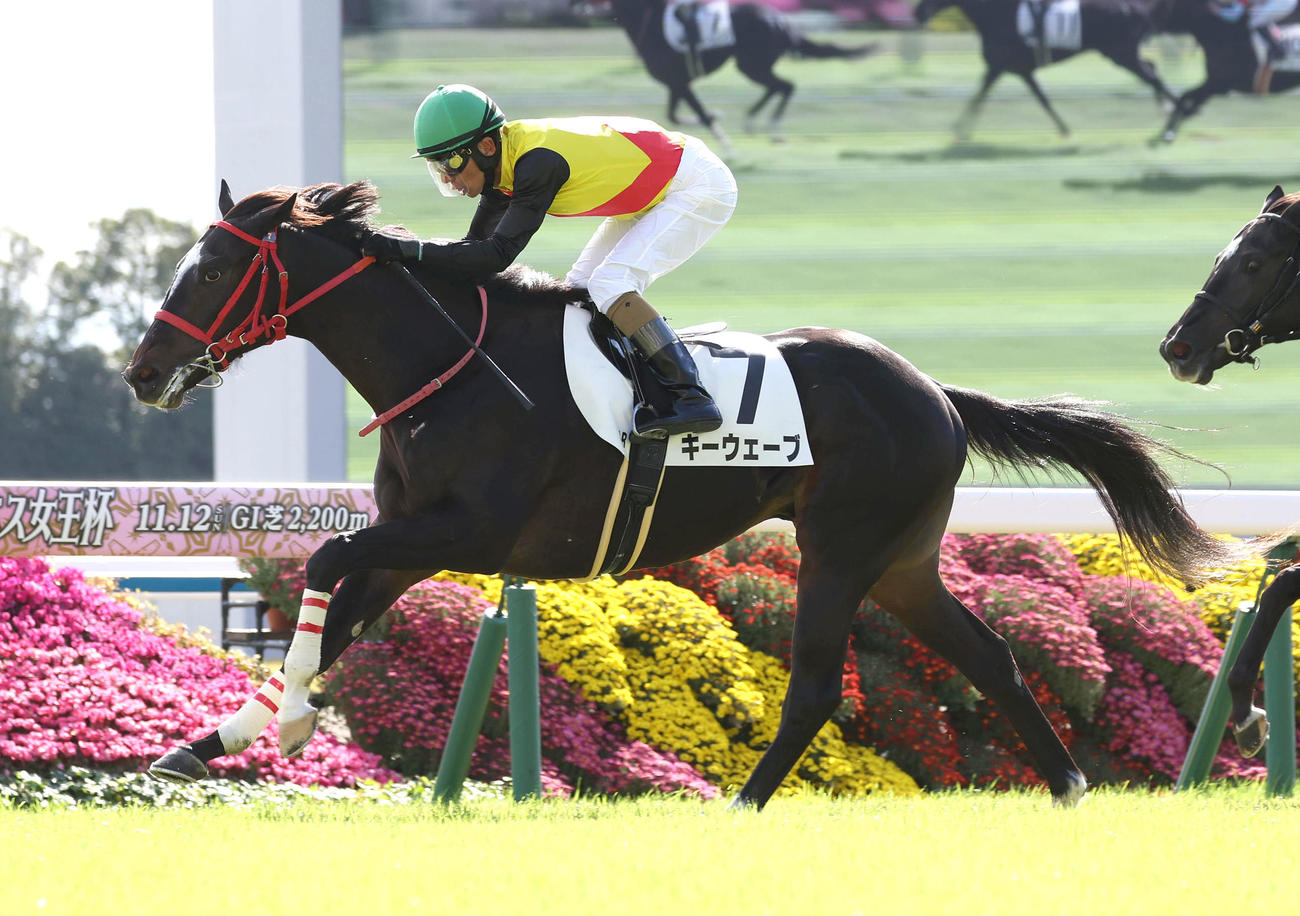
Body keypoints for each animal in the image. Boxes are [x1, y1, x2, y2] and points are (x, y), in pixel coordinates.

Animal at [125, 179, 1253, 808]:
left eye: (214, 267)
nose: (142, 373)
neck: (449, 365)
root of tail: (934, 390)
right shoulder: (414, 536)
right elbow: (341, 613)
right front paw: (209, 742)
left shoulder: (469, 529)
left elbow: (324, 561)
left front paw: (284, 728)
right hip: (901, 562)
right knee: (992, 657)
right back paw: (1066, 788)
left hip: (840, 548)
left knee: (814, 687)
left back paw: (743, 805)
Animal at [585, 0, 878, 149]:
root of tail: (781, 21)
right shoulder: (676, 84)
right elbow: (676, 114)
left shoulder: (679, 82)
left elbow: (697, 114)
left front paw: (724, 141)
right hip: (753, 66)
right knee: (780, 87)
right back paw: (755, 122)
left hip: (752, 66)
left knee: (785, 86)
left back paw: (769, 128)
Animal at [913, 0, 1181, 140]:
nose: (916, 12)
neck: (999, 13)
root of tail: (1138, 8)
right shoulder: (1020, 71)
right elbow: (1042, 99)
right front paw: (1064, 128)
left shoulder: (998, 67)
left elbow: (979, 97)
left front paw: (959, 130)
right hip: (1124, 54)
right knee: (1152, 70)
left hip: (1121, 55)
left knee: (1153, 76)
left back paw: (1174, 112)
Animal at [1154, 1, 1300, 142]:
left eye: (1158, 6)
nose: (1151, 26)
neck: (1222, 32)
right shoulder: (1214, 85)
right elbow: (1186, 97)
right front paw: (1168, 131)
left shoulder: (1218, 85)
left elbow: (1185, 97)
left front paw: (1168, 133)